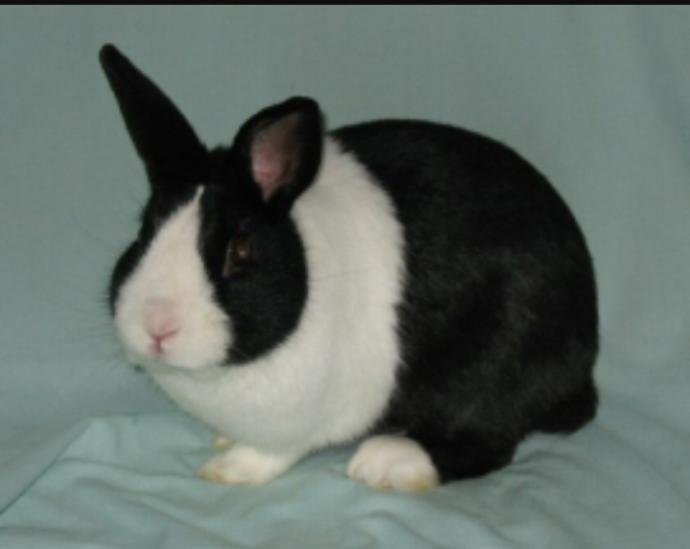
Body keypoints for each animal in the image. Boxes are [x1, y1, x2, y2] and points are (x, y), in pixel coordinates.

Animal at [101, 44, 598, 492]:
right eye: (143, 232)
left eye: (239, 251)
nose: (157, 328)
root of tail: (583, 358)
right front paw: (223, 442)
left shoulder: (298, 420)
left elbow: (270, 453)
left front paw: (228, 469)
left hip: (498, 362)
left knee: (487, 441)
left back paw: (388, 462)